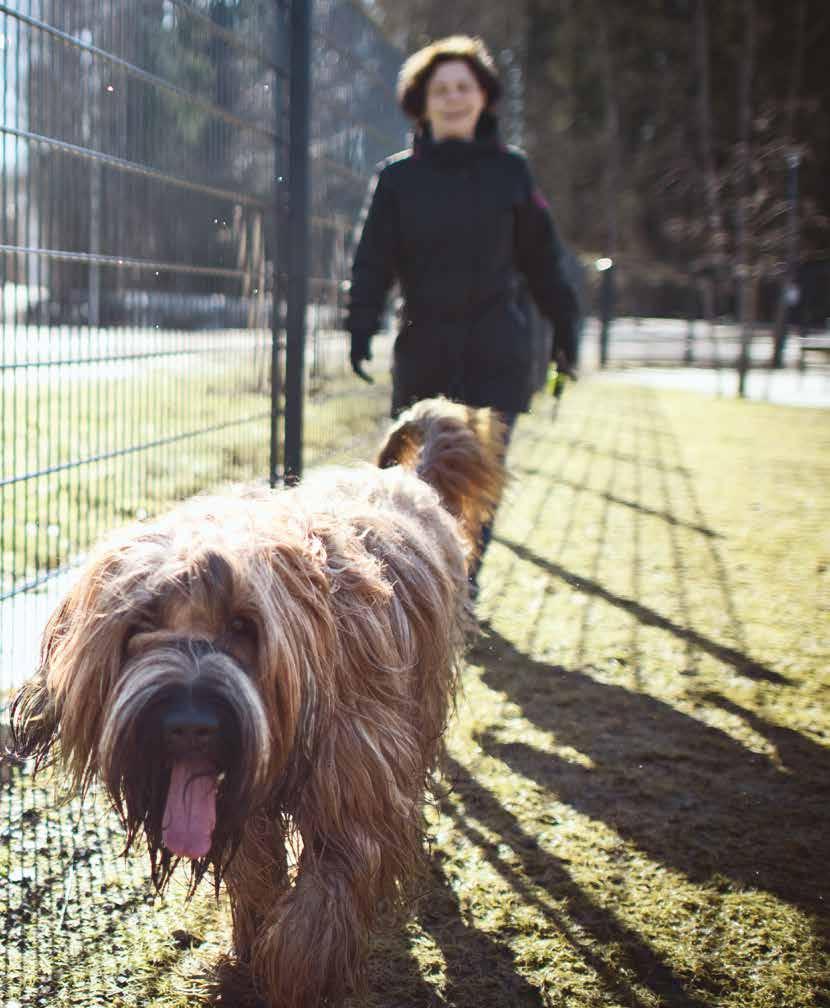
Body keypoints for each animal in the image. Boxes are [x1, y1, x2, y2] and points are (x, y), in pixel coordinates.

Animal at [9, 397, 506, 1008]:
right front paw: (247, 950)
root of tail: (402, 479)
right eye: (139, 626)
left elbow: (324, 901)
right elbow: (256, 870)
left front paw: (297, 976)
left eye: (243, 626)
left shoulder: (355, 792)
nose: (188, 725)